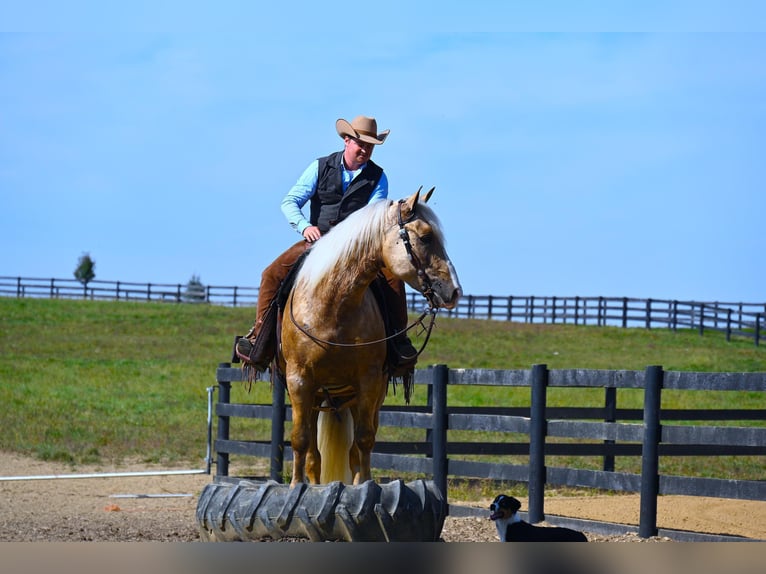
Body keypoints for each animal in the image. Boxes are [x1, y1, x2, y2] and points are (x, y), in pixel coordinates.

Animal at [280, 189, 462, 486]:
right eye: (425, 237)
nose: (455, 291)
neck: (333, 307)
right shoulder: (299, 380)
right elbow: (300, 438)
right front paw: (296, 486)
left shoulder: (369, 381)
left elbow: (364, 439)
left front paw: (364, 484)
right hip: (318, 395)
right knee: (314, 454)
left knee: (355, 446)